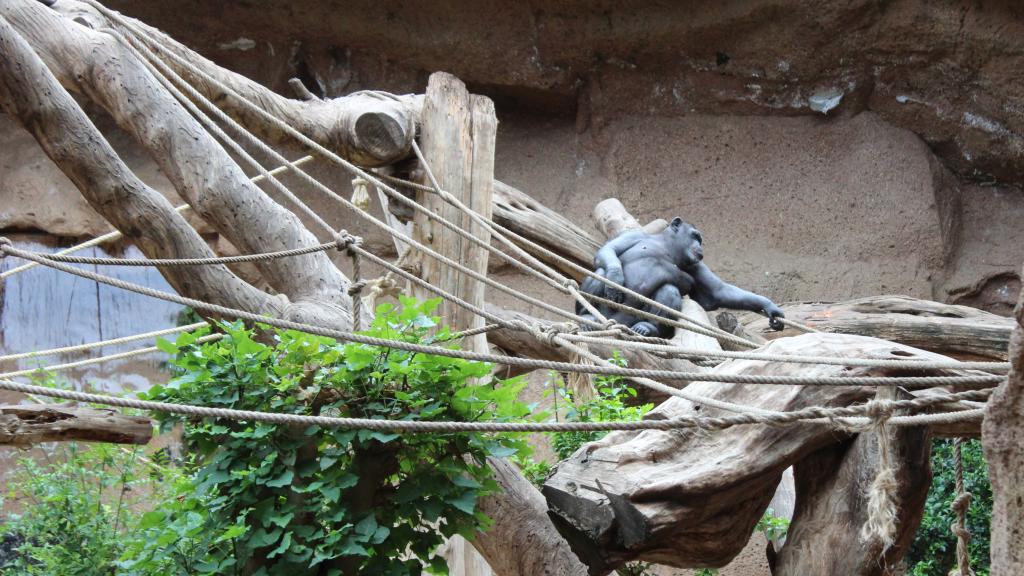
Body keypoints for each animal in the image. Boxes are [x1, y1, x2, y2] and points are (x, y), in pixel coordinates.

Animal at [577, 216, 782, 336]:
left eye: (700, 239)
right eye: (695, 236)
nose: (700, 245)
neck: (668, 247)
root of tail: (618, 324)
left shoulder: (697, 266)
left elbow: (717, 292)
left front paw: (770, 306)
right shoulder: (633, 235)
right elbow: (609, 250)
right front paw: (615, 279)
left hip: (632, 319)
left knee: (668, 289)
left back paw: (648, 327)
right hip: (606, 314)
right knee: (599, 273)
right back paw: (587, 317)